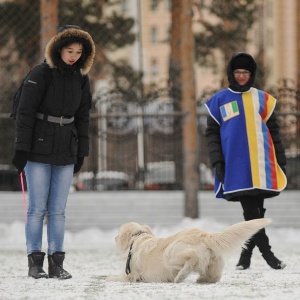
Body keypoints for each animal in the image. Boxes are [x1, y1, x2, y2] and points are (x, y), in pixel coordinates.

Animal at [107, 218, 272, 284]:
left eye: (118, 233)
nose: (114, 237)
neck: (137, 239)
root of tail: (206, 235)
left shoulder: (129, 275)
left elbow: (116, 277)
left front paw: (109, 278)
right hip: (214, 263)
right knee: (214, 277)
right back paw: (201, 279)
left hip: (170, 254)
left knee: (192, 258)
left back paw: (180, 276)